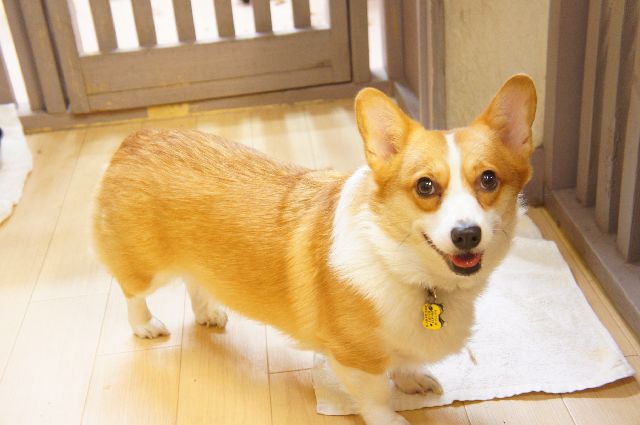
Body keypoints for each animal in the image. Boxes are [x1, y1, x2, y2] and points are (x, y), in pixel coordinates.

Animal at [93, 74, 536, 425]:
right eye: (425, 186)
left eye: (489, 179)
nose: (467, 235)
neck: (404, 266)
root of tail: (134, 139)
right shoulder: (356, 358)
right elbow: (376, 396)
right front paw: (392, 418)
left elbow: (405, 362)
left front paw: (414, 380)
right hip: (147, 266)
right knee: (132, 292)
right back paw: (146, 325)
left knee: (194, 280)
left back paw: (208, 313)